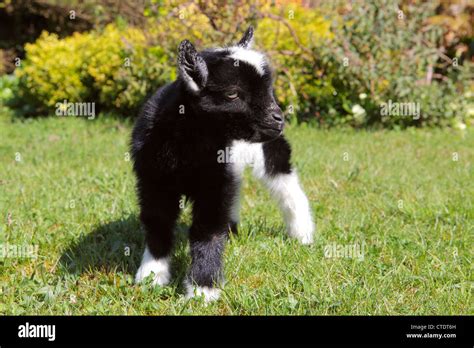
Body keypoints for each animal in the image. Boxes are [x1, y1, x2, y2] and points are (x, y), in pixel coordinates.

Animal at [131, 25, 314, 300]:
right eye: (232, 94)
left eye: (268, 90)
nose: (278, 119)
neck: (189, 143)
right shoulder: (154, 179)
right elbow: (157, 221)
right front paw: (152, 275)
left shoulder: (214, 182)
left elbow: (207, 228)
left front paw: (202, 289)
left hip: (269, 148)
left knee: (285, 183)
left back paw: (302, 234)